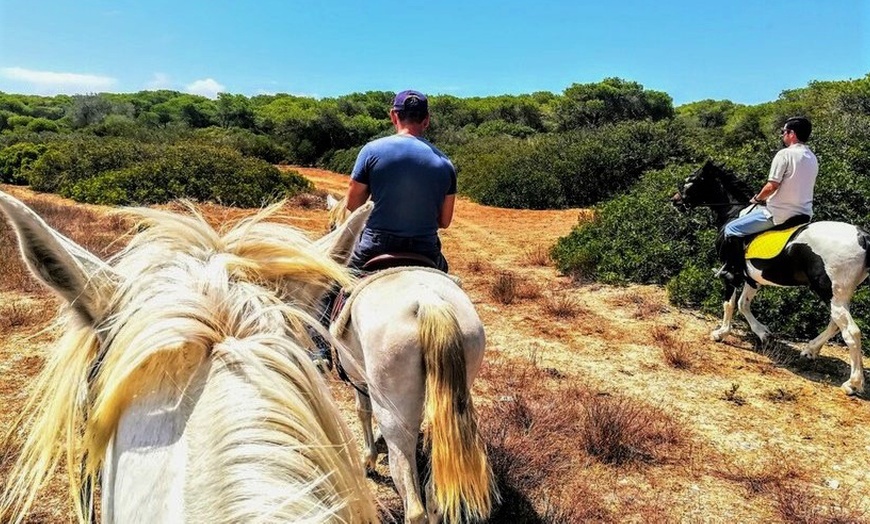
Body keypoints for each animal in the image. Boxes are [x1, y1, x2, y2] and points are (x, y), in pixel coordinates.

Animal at [328, 195, 498, 524]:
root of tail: (430, 302)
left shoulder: (358, 380)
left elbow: (362, 412)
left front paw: (368, 460)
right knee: (435, 496)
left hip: (396, 415)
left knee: (414, 501)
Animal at [676, 162, 870, 396]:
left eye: (691, 180)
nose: (675, 200)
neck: (733, 213)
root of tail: (862, 236)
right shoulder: (752, 278)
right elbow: (743, 304)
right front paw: (764, 334)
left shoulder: (732, 275)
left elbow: (729, 304)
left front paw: (721, 333)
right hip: (840, 294)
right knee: (835, 323)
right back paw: (810, 350)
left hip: (831, 292)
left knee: (851, 332)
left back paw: (853, 384)